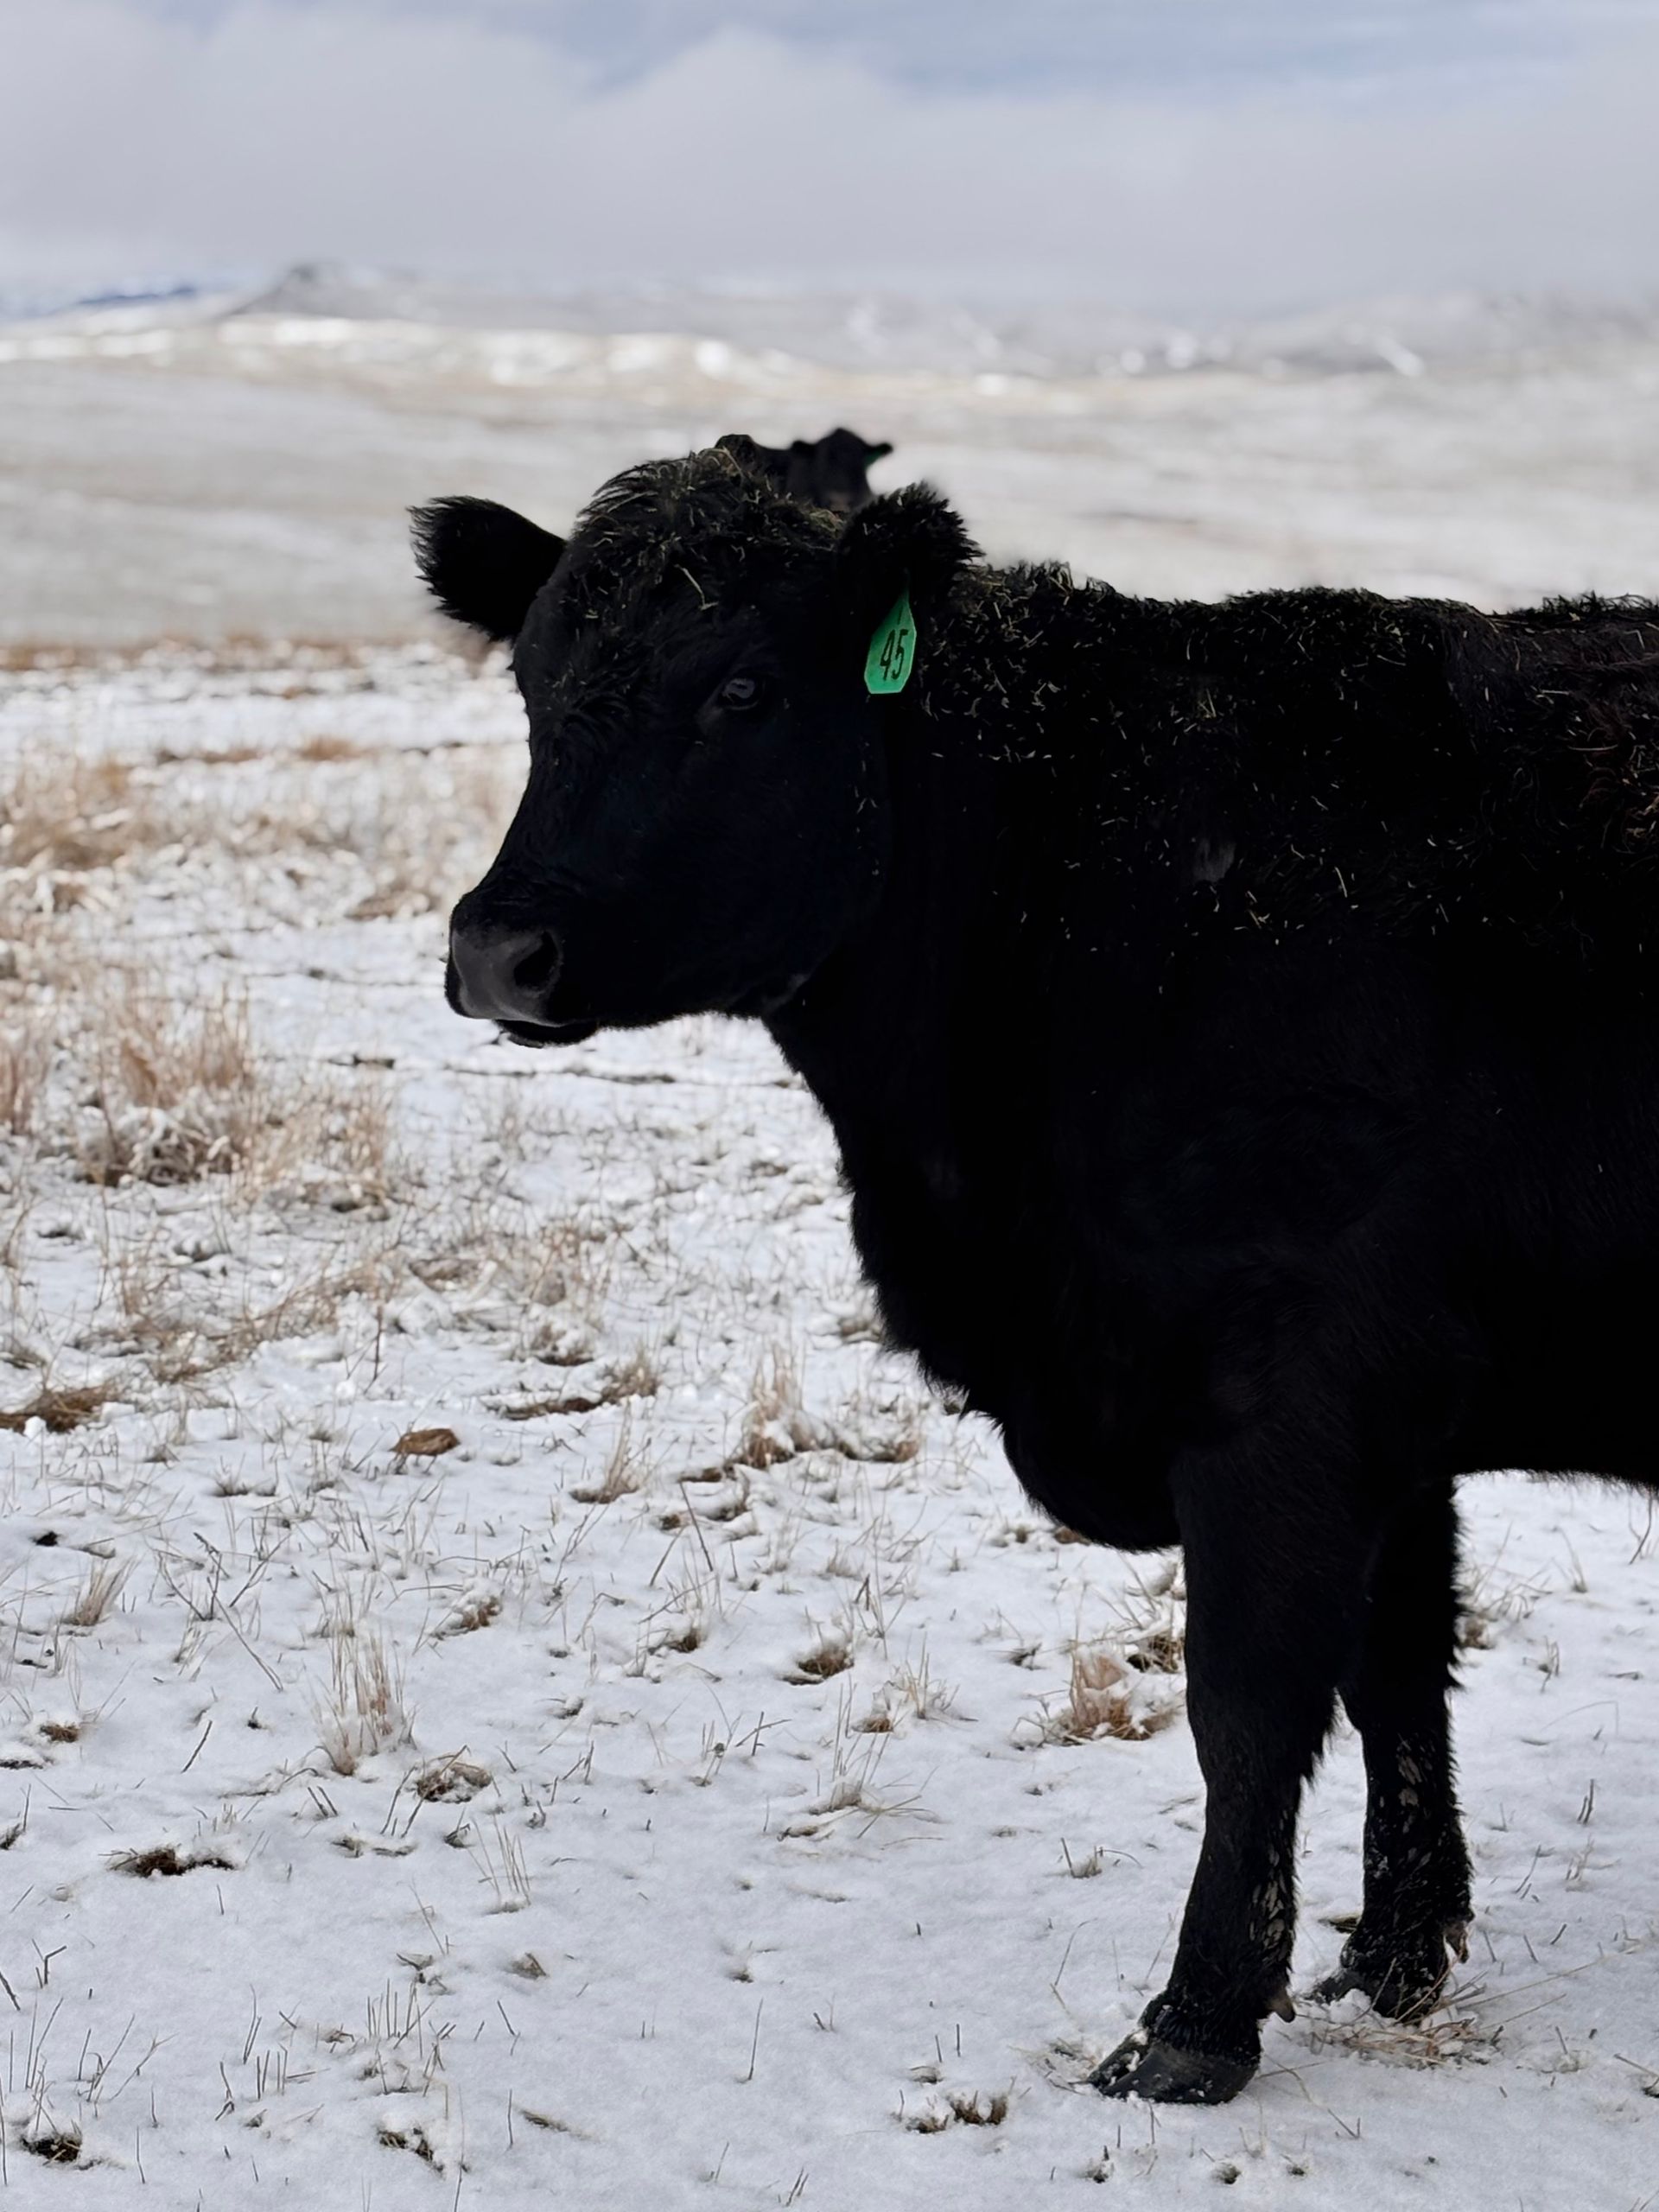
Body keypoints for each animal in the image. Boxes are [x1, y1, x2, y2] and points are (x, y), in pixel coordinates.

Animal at [413, 438, 1659, 2104]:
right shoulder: (1398, 1424)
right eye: (536, 687)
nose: (501, 952)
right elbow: (1398, 1669)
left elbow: (1248, 1706)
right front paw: (1395, 1956)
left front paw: (1193, 2025)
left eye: (742, 689)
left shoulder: (1292, 1398)